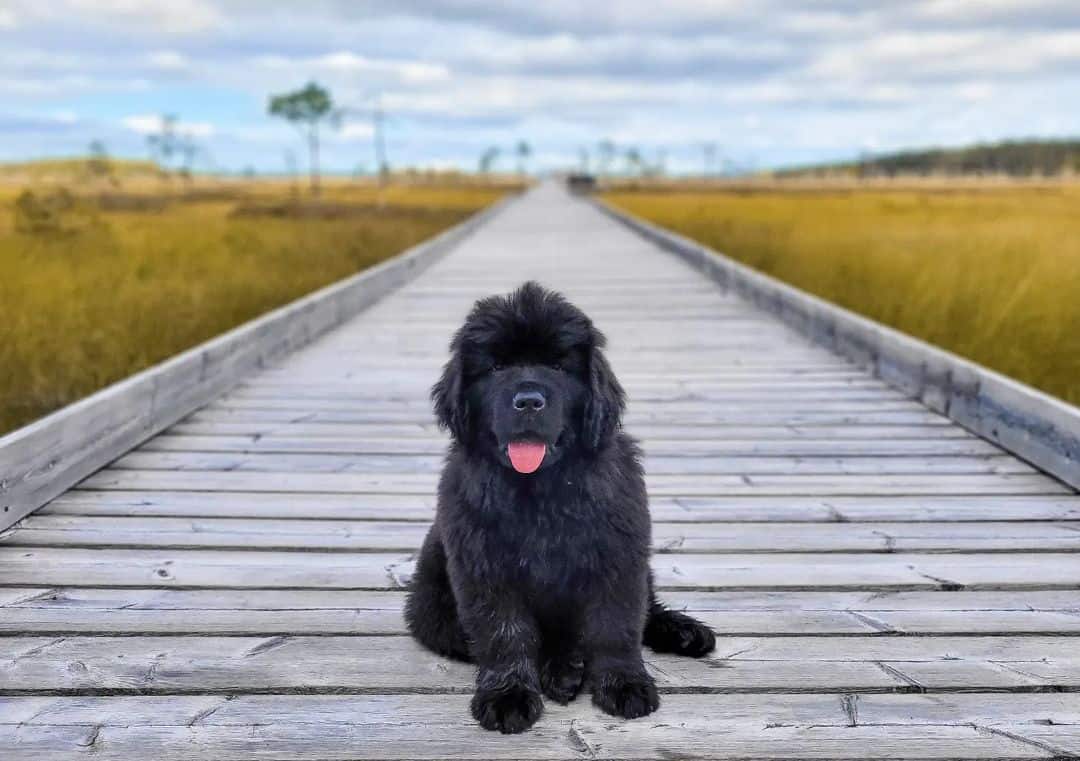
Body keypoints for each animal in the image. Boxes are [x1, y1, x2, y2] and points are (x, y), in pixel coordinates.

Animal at [406, 282, 717, 734]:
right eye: (497, 367)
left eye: (557, 366)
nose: (528, 401)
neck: (540, 489)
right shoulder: (484, 566)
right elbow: (506, 632)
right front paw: (508, 696)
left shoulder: (619, 556)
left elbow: (615, 625)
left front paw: (624, 684)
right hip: (432, 597)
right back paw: (563, 669)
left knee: (643, 611)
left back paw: (681, 631)